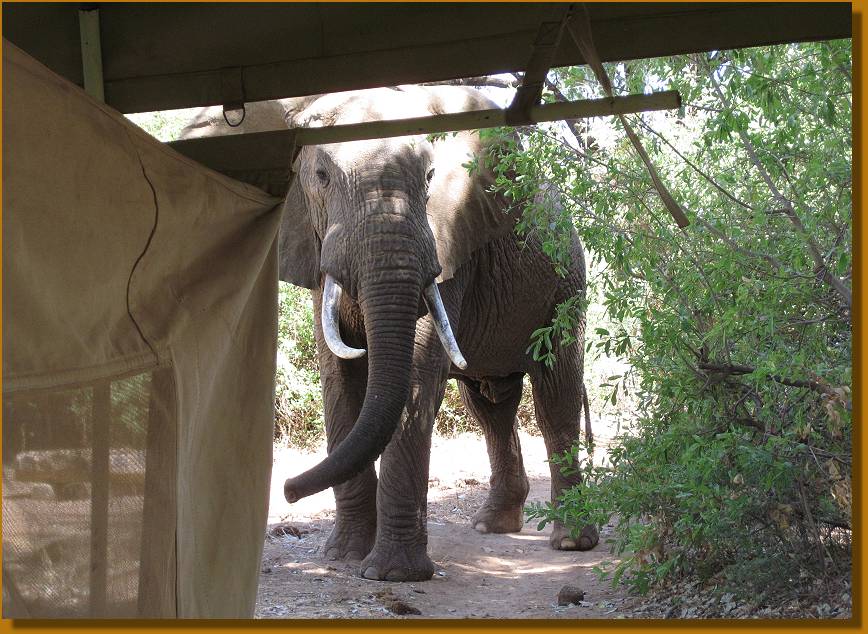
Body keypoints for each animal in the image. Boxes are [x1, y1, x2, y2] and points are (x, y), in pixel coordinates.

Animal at [274, 86, 600, 580]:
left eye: (430, 177)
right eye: (321, 177)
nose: (288, 489)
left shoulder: (450, 241)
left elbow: (416, 369)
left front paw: (392, 574)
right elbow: (337, 373)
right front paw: (343, 556)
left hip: (567, 282)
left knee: (554, 396)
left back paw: (571, 542)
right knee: (490, 406)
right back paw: (491, 526)